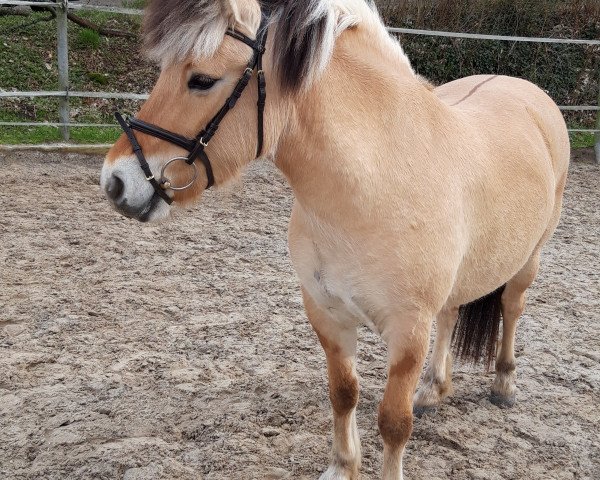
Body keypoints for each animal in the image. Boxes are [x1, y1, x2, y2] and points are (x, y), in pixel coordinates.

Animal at [98, 1, 568, 478]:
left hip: (529, 260)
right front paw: (343, 466)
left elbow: (394, 422)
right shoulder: (327, 314)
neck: (377, 183)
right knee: (452, 314)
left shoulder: (408, 332)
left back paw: (504, 384)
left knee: (511, 308)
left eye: (201, 80)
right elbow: (343, 393)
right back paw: (434, 390)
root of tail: (526, 92)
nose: (115, 182)